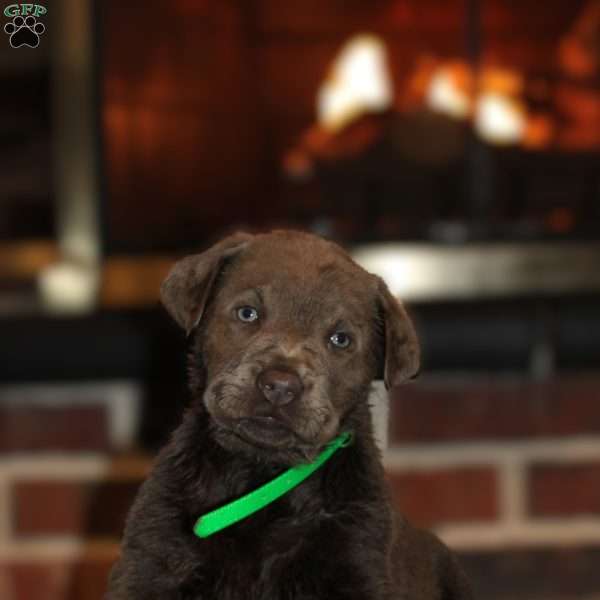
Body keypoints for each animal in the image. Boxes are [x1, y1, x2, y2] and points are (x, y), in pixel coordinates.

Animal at [108, 231, 474, 600]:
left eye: (340, 339)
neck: (262, 475)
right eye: (248, 313)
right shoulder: (154, 561)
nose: (280, 385)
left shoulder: (358, 561)